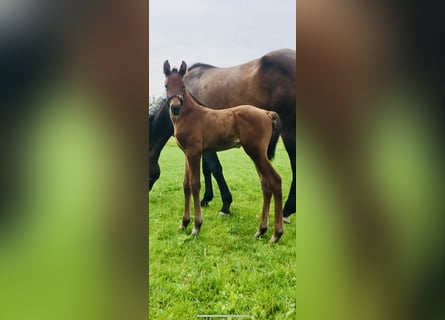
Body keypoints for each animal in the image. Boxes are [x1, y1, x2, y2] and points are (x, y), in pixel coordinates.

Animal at [149, 48, 294, 220]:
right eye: (165, 85)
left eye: (183, 86)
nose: (175, 108)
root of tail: (267, 114)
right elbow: (206, 169)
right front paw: (206, 199)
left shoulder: (200, 148)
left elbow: (215, 168)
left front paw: (225, 205)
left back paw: (286, 211)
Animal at [164, 60, 284, 242]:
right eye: (166, 85)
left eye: (183, 86)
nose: (175, 107)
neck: (190, 115)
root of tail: (266, 113)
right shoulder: (186, 153)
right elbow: (185, 184)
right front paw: (183, 223)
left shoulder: (194, 152)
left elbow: (195, 184)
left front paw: (196, 227)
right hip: (257, 154)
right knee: (266, 184)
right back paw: (261, 230)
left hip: (256, 153)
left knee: (275, 180)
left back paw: (276, 234)